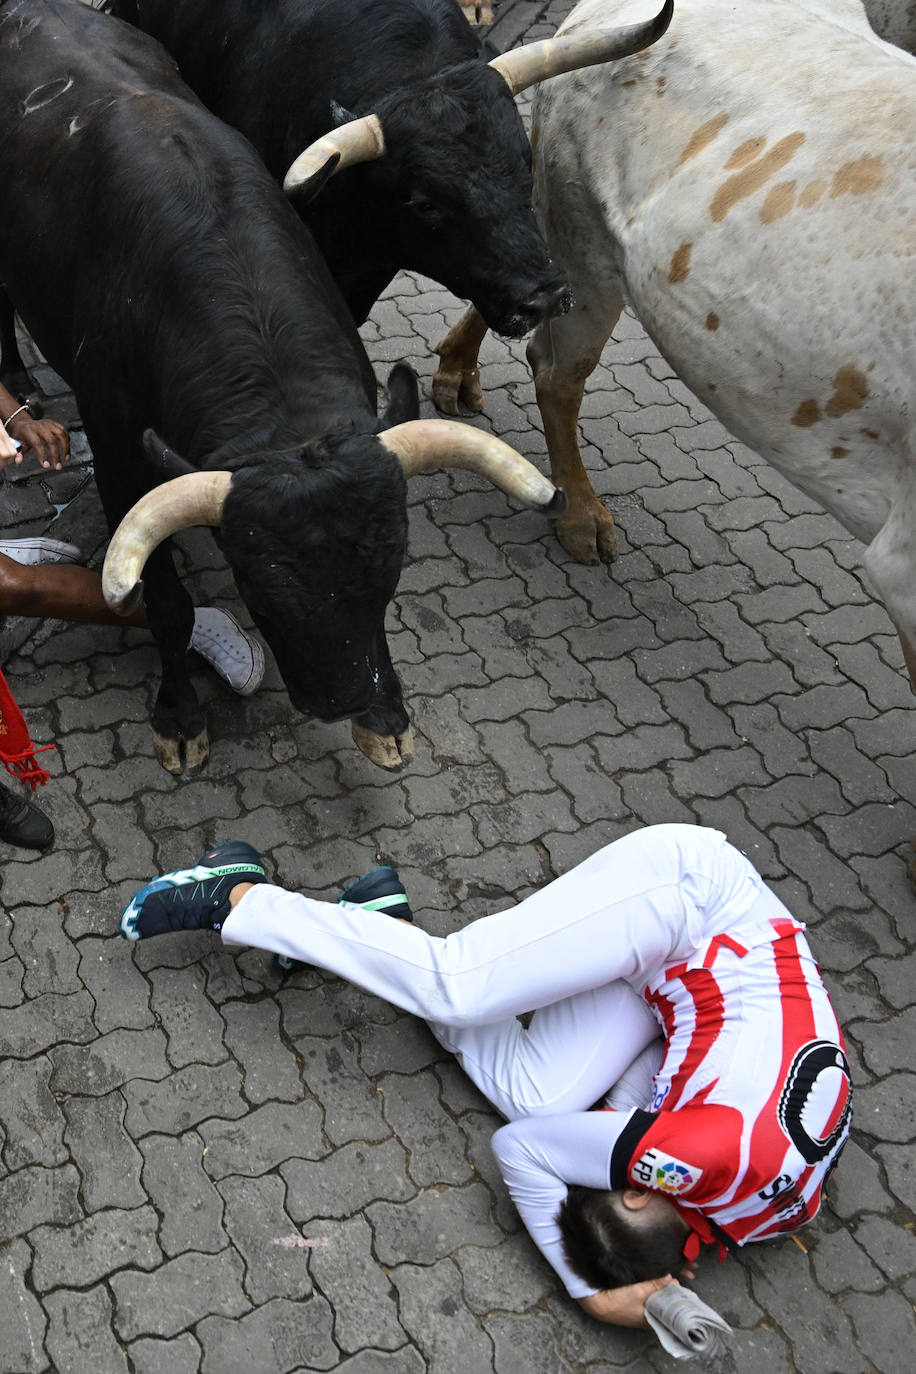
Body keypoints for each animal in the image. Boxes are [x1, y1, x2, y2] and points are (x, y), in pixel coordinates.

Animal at [0, 0, 563, 774]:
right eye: (259, 588)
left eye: (389, 572)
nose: (342, 700)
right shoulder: (118, 461)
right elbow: (166, 605)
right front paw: (179, 719)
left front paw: (385, 716)